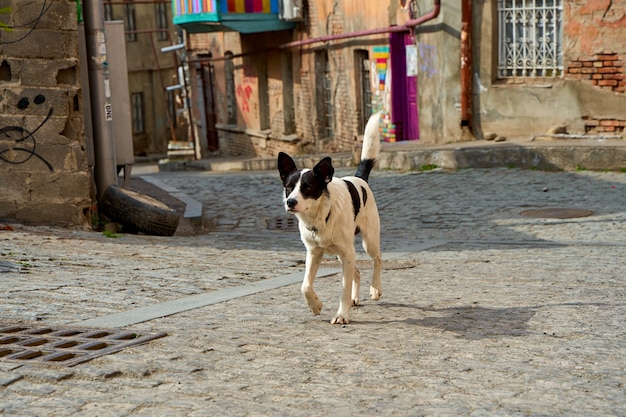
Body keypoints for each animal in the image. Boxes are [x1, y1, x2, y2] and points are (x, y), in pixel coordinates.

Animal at [276, 112, 380, 324]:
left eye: (307, 187)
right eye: (289, 187)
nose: (290, 202)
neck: (321, 217)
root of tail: (360, 179)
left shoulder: (347, 253)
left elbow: (344, 290)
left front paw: (341, 315)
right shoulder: (314, 253)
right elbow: (305, 285)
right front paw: (315, 305)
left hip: (368, 241)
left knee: (378, 259)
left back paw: (375, 288)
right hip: (344, 253)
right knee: (357, 272)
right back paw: (355, 298)